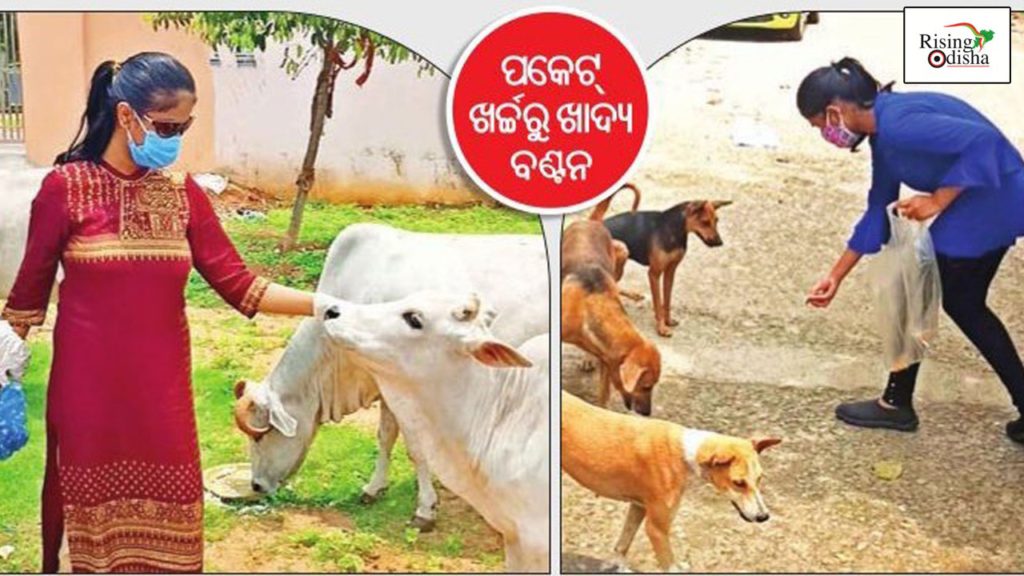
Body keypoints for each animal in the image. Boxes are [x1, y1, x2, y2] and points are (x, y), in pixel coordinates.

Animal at [234, 222, 548, 528]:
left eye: (260, 436)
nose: (257, 485)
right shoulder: (384, 389)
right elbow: (385, 436)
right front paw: (374, 488)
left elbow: (415, 449)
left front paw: (425, 508)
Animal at [561, 218, 663, 412]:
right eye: (646, 386)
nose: (647, 413)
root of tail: (589, 221)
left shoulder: (607, 359)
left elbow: (603, 394)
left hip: (621, 253)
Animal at [565, 389, 778, 569]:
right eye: (739, 483)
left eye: (760, 478)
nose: (764, 517)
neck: (685, 453)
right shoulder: (656, 530)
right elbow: (669, 564)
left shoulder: (638, 507)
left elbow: (623, 542)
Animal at [589, 183, 733, 336]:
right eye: (705, 222)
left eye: (716, 221)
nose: (720, 243)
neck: (674, 230)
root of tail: (595, 223)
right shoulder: (654, 273)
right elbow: (658, 302)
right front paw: (661, 328)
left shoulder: (670, 271)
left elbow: (667, 300)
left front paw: (668, 321)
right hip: (621, 252)